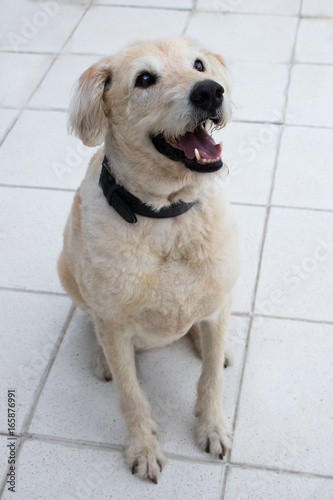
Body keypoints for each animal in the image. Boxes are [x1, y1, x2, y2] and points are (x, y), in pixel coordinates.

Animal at [57, 37, 239, 482]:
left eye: (198, 64)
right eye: (144, 79)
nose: (210, 91)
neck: (168, 217)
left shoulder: (219, 301)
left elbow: (211, 379)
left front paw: (213, 427)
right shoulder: (116, 327)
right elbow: (131, 396)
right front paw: (142, 449)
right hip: (65, 269)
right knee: (88, 316)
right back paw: (99, 358)